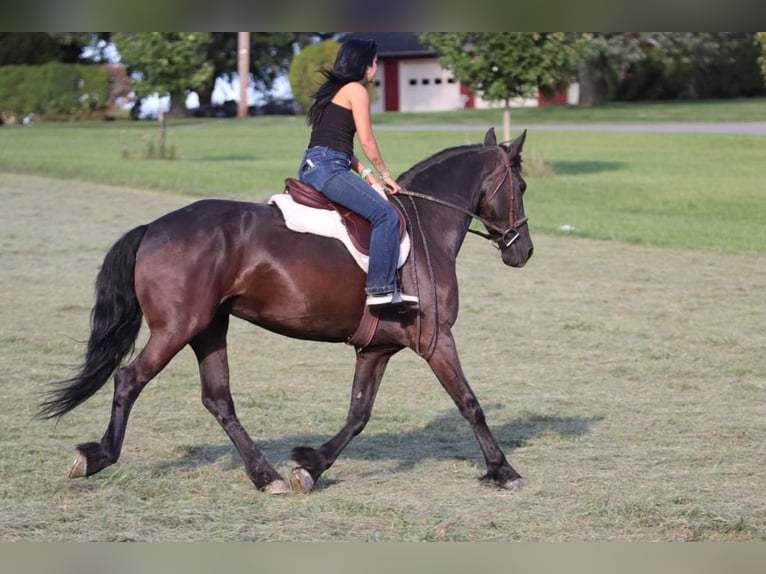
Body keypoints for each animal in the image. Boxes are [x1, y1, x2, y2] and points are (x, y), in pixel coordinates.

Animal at [40, 127, 536, 496]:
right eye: (523, 186)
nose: (524, 250)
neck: (425, 227)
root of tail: (154, 228)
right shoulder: (436, 340)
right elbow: (469, 403)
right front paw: (504, 470)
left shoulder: (375, 350)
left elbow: (358, 414)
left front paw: (310, 466)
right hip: (177, 328)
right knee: (129, 379)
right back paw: (97, 457)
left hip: (208, 328)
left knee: (218, 399)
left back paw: (266, 476)